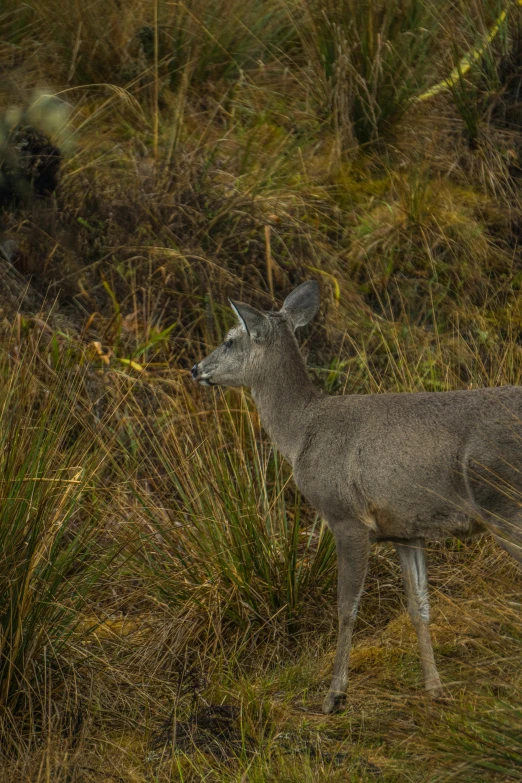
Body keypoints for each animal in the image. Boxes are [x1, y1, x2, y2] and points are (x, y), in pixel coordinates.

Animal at [191, 282, 520, 716]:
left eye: (230, 339)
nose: (196, 369)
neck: (302, 434)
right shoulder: (406, 529)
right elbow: (419, 607)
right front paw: (435, 688)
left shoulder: (346, 518)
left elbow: (346, 609)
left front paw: (334, 695)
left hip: (503, 500)